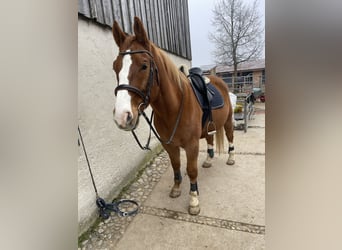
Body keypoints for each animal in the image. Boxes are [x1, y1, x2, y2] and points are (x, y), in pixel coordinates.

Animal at [112, 17, 235, 215]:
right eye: (115, 67)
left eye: (144, 66)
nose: (122, 116)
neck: (174, 109)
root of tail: (219, 81)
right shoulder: (169, 145)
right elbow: (176, 165)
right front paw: (176, 188)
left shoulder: (192, 145)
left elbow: (191, 170)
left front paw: (194, 200)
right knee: (210, 140)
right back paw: (208, 160)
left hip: (228, 122)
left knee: (230, 136)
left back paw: (231, 158)